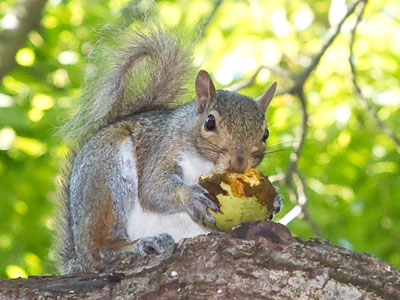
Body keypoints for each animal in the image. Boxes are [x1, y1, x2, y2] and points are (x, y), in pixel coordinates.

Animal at [55, 25, 282, 274]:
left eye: (265, 133)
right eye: (209, 123)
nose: (239, 165)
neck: (205, 164)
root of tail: (77, 258)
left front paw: (276, 199)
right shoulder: (164, 150)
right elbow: (153, 189)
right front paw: (190, 195)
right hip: (105, 171)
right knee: (99, 249)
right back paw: (138, 244)